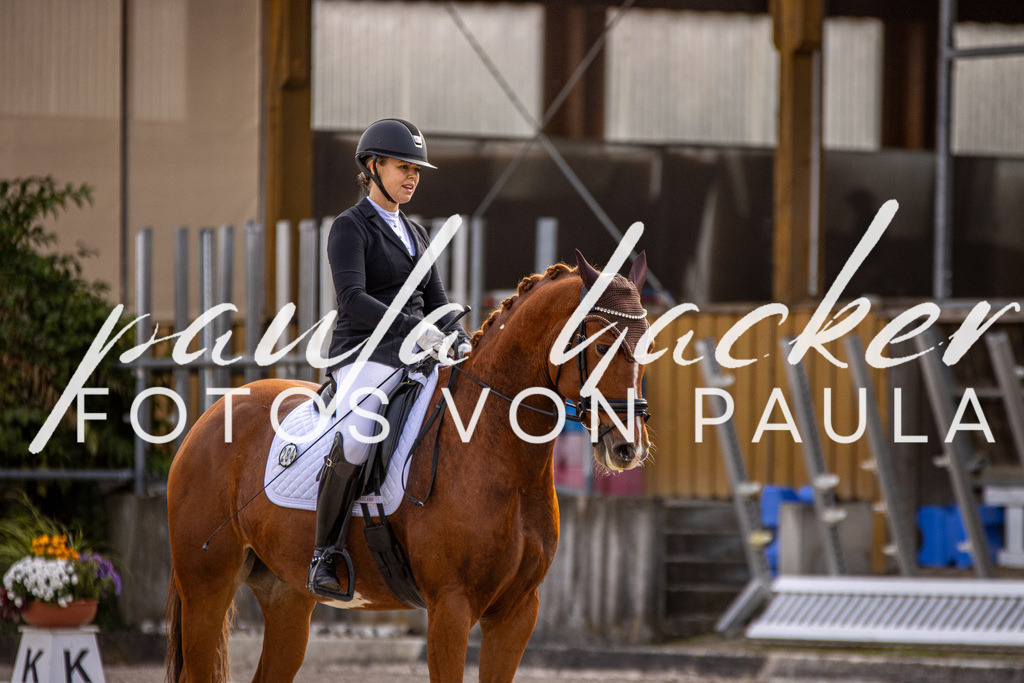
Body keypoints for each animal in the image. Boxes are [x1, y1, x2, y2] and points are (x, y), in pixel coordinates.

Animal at [165, 250, 653, 682]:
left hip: (286, 595)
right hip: (206, 588)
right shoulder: (450, 608)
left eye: (649, 347)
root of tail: (213, 413)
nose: (628, 448)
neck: (502, 457)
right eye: (603, 345)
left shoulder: (516, 612)